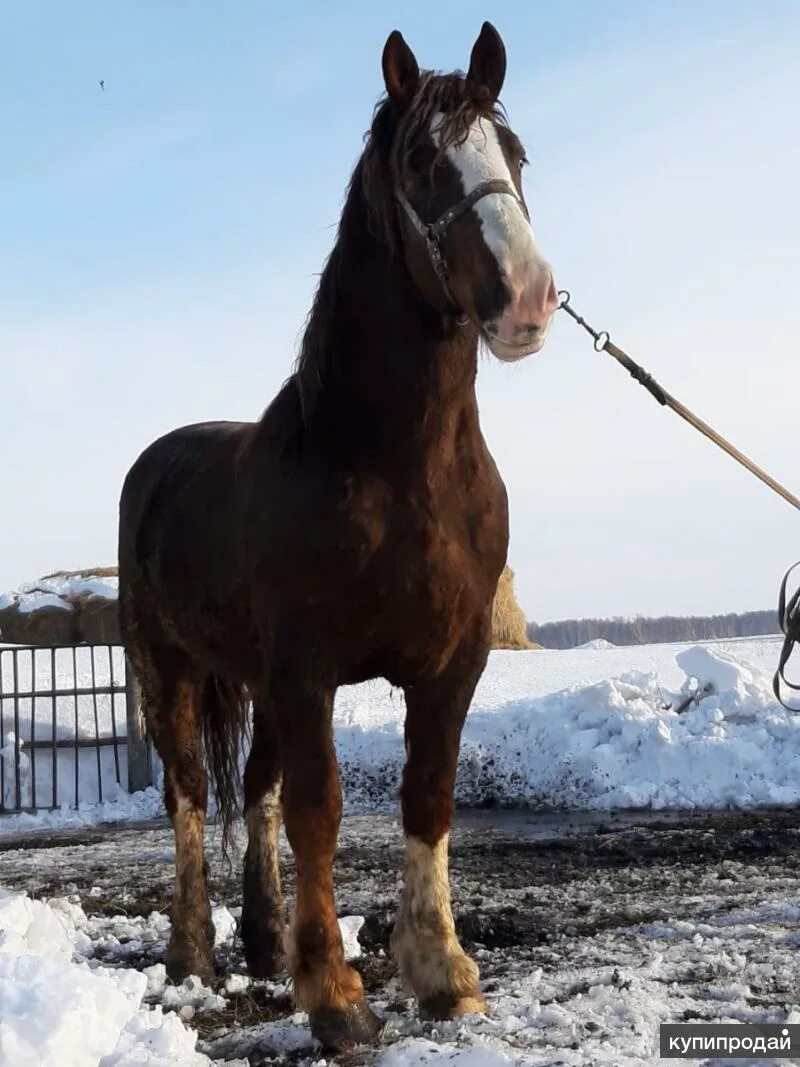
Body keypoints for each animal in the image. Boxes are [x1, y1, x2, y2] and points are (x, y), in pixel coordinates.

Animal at [118, 22, 558, 1049]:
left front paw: (442, 973)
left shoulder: (453, 662)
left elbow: (426, 798)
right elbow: (320, 811)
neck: (399, 471)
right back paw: (196, 952)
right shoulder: (306, 667)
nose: (527, 298)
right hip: (171, 671)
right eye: (423, 161)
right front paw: (337, 994)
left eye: (515, 156)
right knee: (191, 797)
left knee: (257, 791)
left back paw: (264, 942)